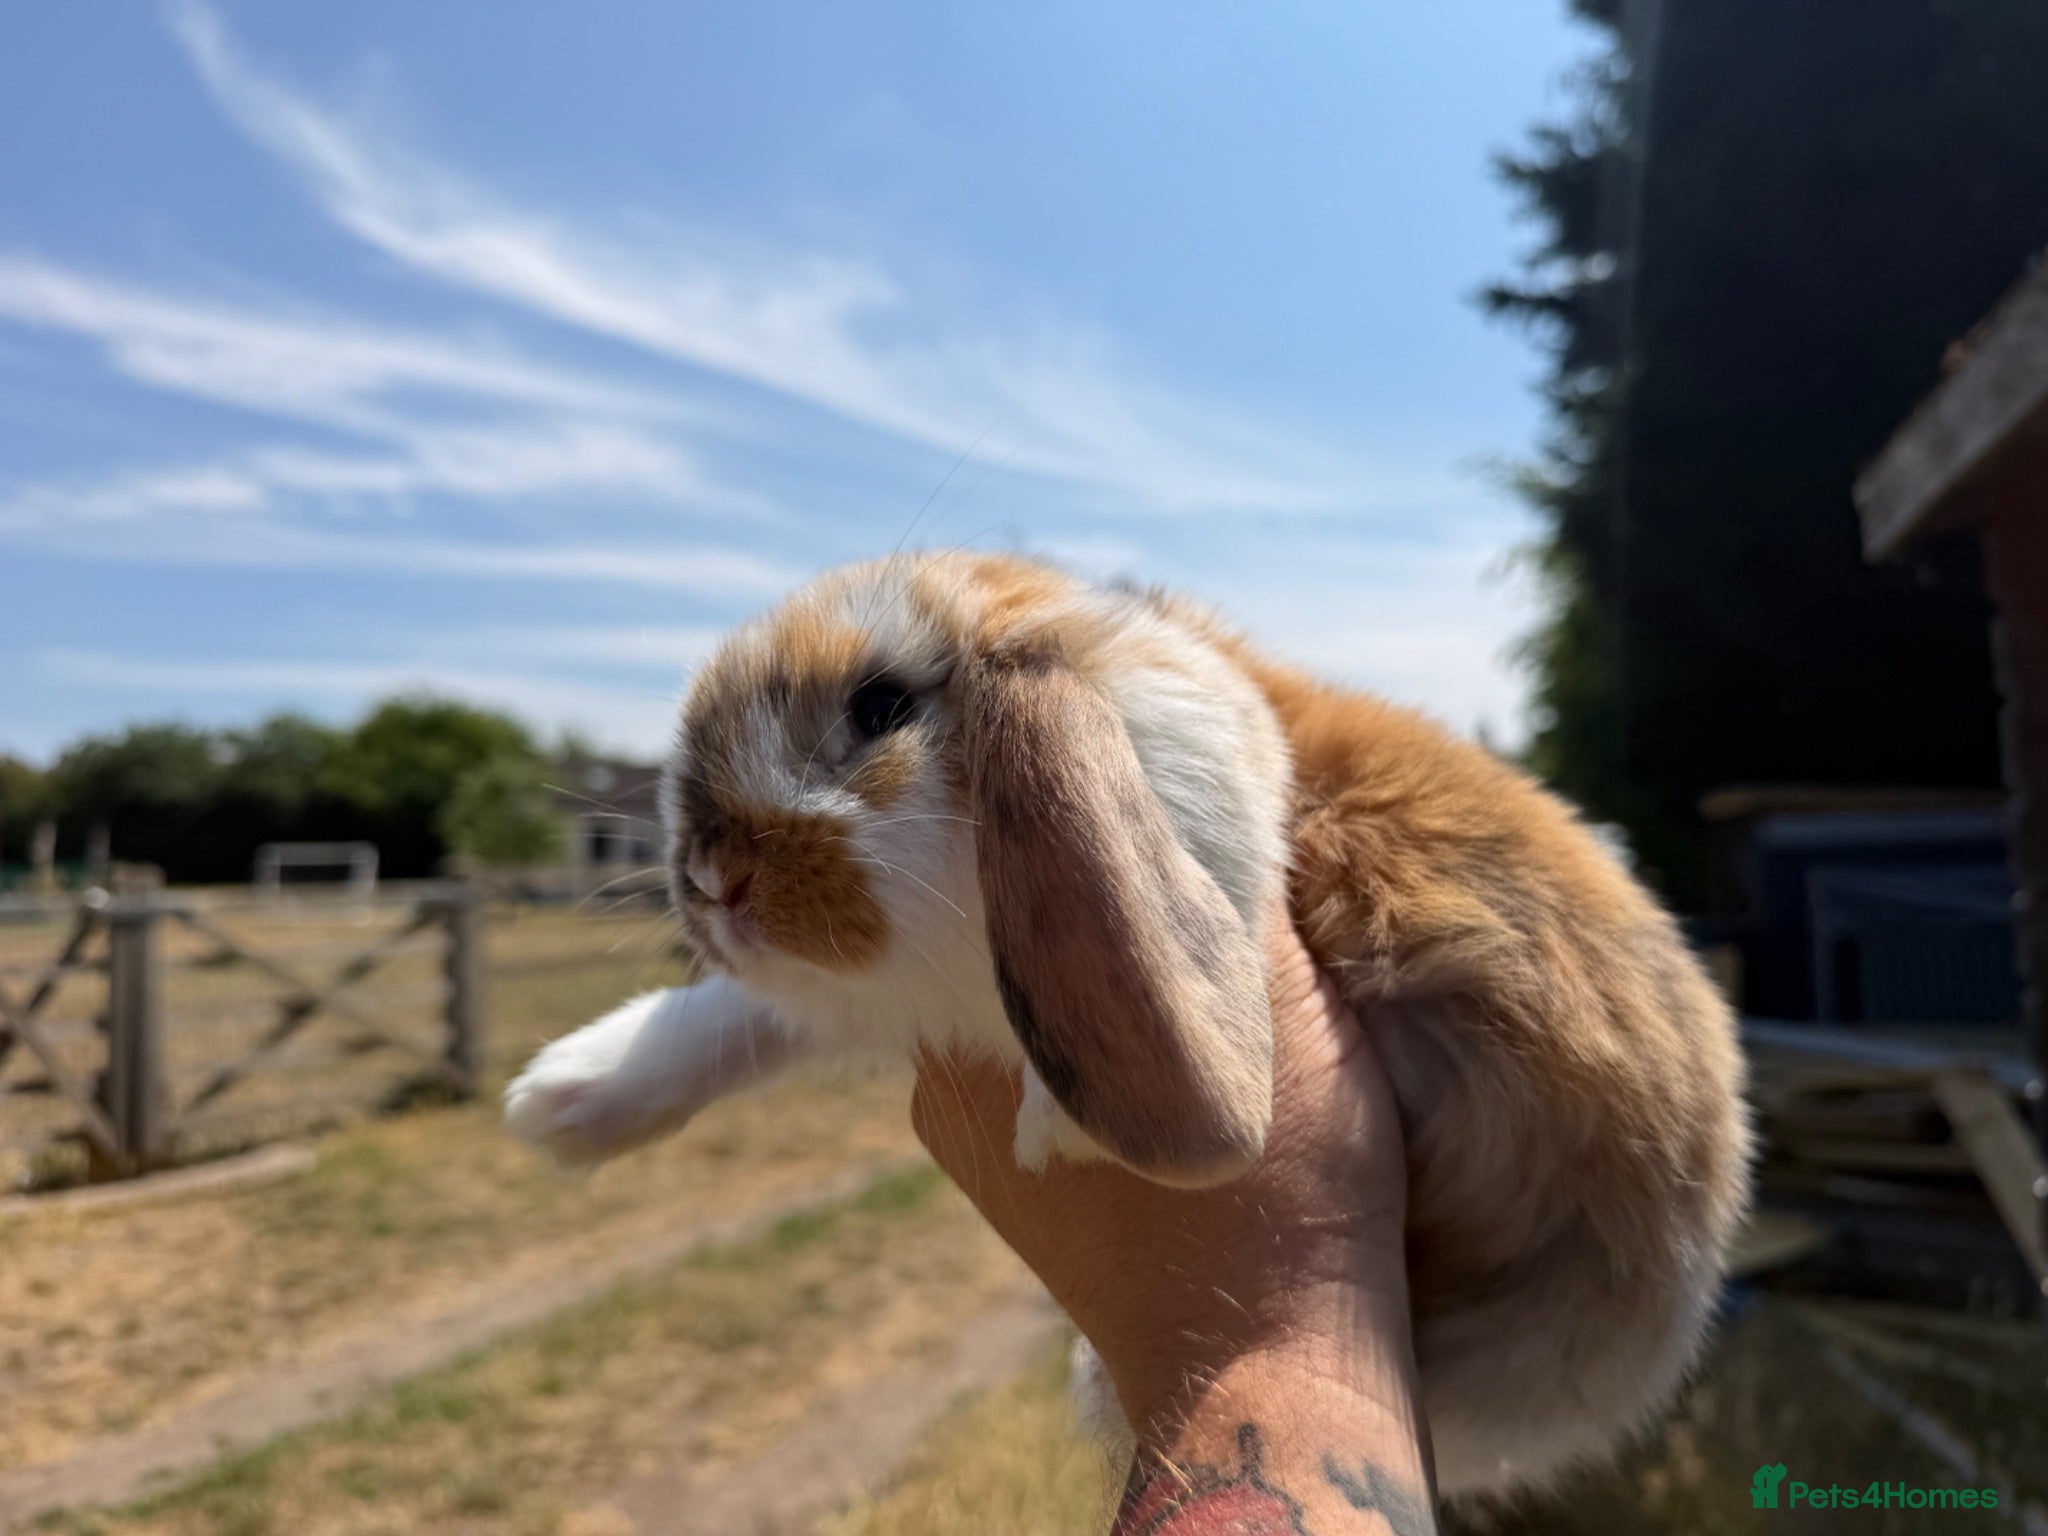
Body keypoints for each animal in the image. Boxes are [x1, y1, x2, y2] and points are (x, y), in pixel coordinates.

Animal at [504, 550, 1752, 1499]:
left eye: (880, 708)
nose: (710, 879)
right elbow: (738, 1020)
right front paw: (562, 1104)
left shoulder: (1207, 766)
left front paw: (1054, 1129)